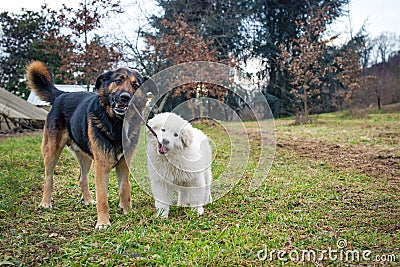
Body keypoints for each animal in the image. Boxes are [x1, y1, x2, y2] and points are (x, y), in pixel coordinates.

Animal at [27, 61, 148, 230]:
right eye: (118, 80)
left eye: (136, 85)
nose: (125, 97)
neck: (116, 123)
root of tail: (62, 94)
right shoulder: (101, 166)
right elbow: (102, 196)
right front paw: (103, 222)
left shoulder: (124, 164)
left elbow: (125, 188)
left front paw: (127, 211)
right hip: (52, 150)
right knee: (48, 177)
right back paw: (45, 201)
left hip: (86, 158)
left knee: (81, 178)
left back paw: (88, 200)